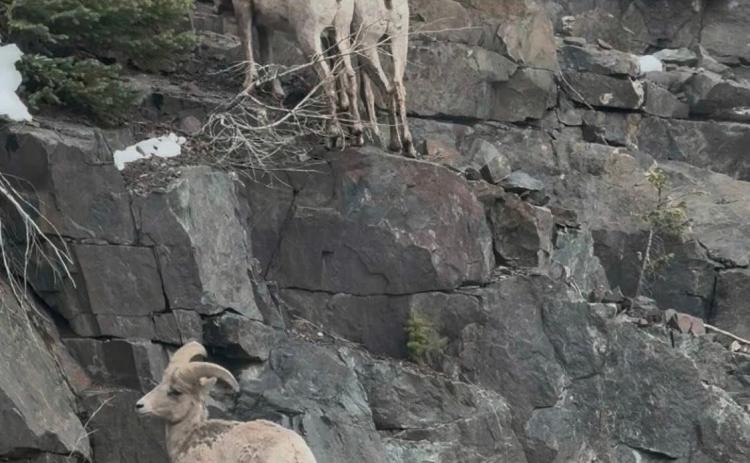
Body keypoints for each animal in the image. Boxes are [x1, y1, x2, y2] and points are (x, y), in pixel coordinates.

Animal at [228, 0, 364, 146]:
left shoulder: (242, 6)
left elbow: (247, 42)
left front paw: (246, 88)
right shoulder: (265, 22)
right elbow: (266, 52)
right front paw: (277, 93)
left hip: (309, 35)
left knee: (327, 77)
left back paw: (332, 134)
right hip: (340, 32)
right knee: (349, 74)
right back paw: (357, 132)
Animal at [353, 0, 415, 157]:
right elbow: (366, 91)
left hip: (367, 44)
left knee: (387, 89)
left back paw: (395, 145)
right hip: (398, 41)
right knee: (398, 87)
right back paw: (408, 146)